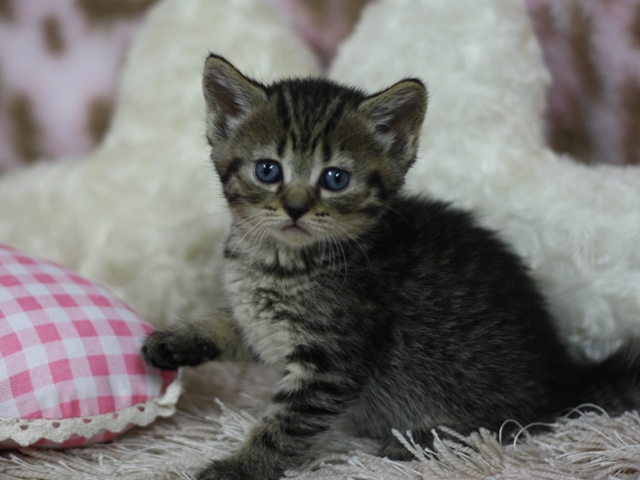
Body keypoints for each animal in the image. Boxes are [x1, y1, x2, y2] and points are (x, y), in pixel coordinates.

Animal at [142, 53, 640, 480]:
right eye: (268, 170)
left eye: (335, 179)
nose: (296, 208)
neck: (278, 263)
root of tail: (566, 379)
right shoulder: (260, 324)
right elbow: (227, 324)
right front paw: (173, 340)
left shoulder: (332, 363)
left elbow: (284, 425)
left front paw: (241, 466)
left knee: (507, 428)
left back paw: (425, 438)